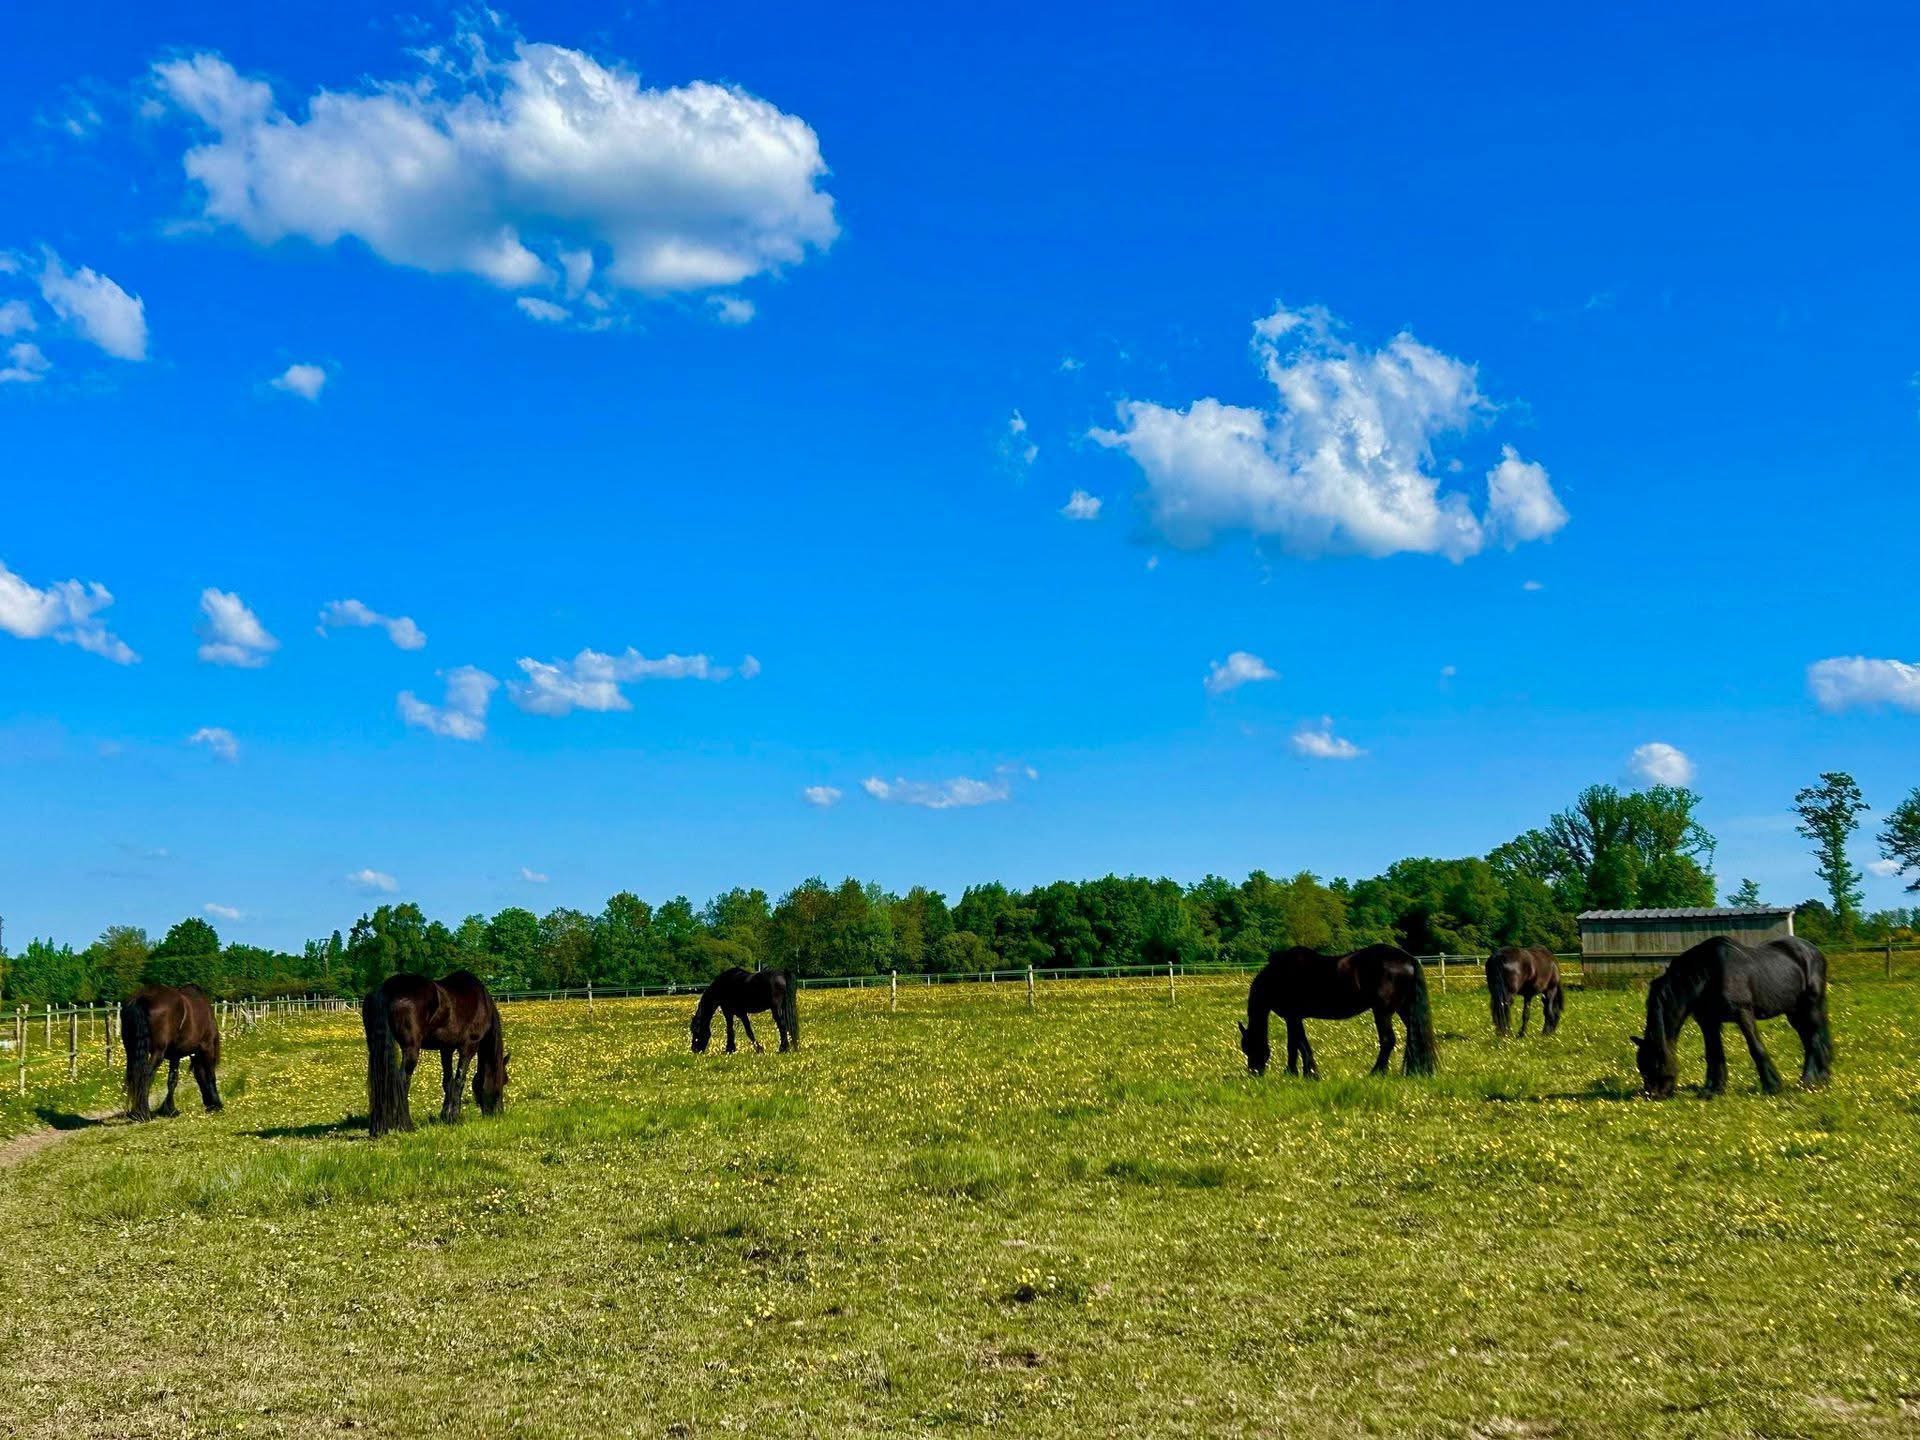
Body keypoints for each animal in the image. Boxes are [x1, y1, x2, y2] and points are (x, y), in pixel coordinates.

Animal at [122, 983, 223, 1121]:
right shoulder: (207, 1047)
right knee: (146, 1074)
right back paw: (144, 1113)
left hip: (131, 1050)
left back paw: (136, 1112)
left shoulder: (176, 1054)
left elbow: (172, 1080)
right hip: (157, 1052)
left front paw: (170, 1109)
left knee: (134, 1074)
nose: (209, 1105)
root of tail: (141, 998)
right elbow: (210, 1075)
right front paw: (217, 1104)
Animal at [361, 970, 509, 1138]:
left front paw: (445, 1116)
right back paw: (406, 1125)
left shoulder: (446, 1048)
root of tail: (386, 989)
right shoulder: (469, 1046)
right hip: (411, 1049)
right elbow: (459, 1081)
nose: (498, 1112)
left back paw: (378, 1128)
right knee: (402, 1080)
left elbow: (448, 1081)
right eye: (504, 1081)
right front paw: (455, 1117)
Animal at [1239, 944, 1437, 1078]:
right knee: (1413, 1037)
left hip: (1383, 1011)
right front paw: (1304, 1073)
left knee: (1388, 1040)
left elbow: (1296, 1044)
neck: (1279, 975)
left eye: (1248, 1046)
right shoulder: (1295, 1017)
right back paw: (1415, 1071)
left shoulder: (1292, 1016)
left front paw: (1298, 1073)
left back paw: (1375, 1073)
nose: (1254, 1073)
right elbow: (1299, 1044)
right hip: (1404, 1009)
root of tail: (1409, 959)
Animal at [1633, 935, 1832, 1099]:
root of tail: (1813, 951)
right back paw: (1819, 1078)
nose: (1653, 1094)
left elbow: (1756, 1048)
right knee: (1809, 1040)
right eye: (1641, 1065)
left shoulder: (1743, 1013)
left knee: (1814, 1039)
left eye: (1654, 1061)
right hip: (1794, 1013)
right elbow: (1713, 1054)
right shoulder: (1708, 1022)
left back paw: (1808, 1081)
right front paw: (1712, 1090)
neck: (1708, 973)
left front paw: (1772, 1086)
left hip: (1811, 1006)